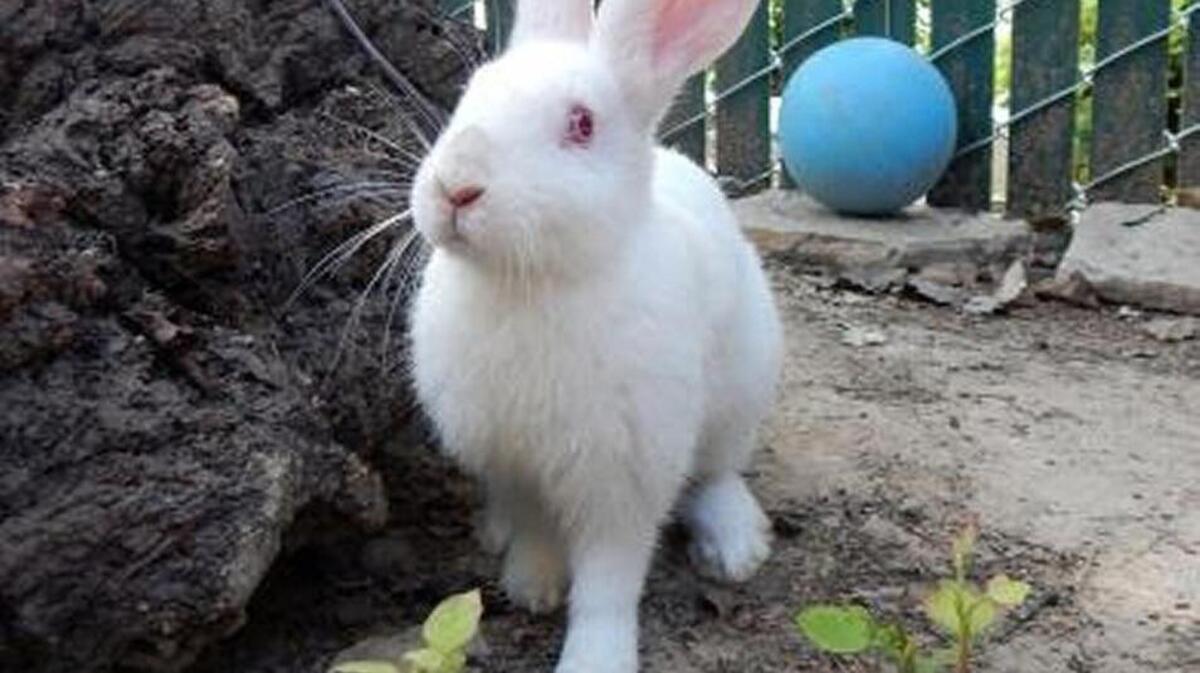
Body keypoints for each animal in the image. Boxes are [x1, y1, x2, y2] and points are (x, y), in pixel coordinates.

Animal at [407, 0, 782, 671]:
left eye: (581, 124)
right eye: (472, 93)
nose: (455, 187)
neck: (529, 282)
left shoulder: (624, 478)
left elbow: (610, 582)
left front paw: (595, 657)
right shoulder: (514, 460)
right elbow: (534, 527)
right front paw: (531, 585)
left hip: (741, 390)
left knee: (716, 472)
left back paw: (735, 548)